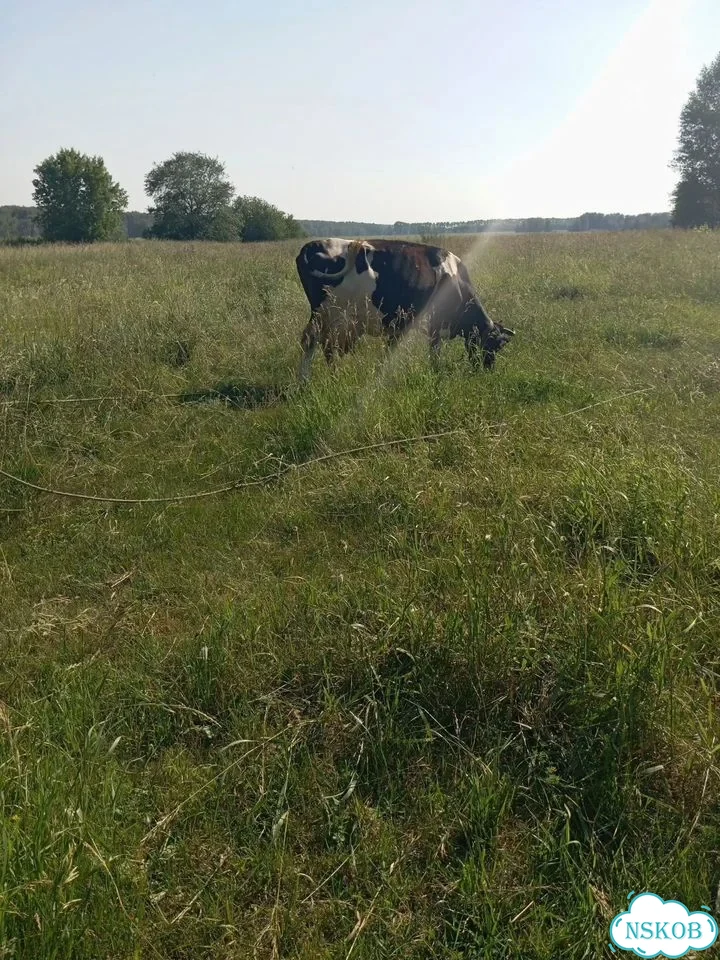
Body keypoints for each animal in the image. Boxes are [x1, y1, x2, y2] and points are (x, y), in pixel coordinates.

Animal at [295, 238, 514, 381]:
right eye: (494, 345)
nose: (488, 369)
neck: (455, 279)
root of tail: (311, 245)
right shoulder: (434, 325)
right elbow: (434, 353)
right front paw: (436, 373)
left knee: (325, 346)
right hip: (324, 313)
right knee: (312, 342)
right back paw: (305, 381)